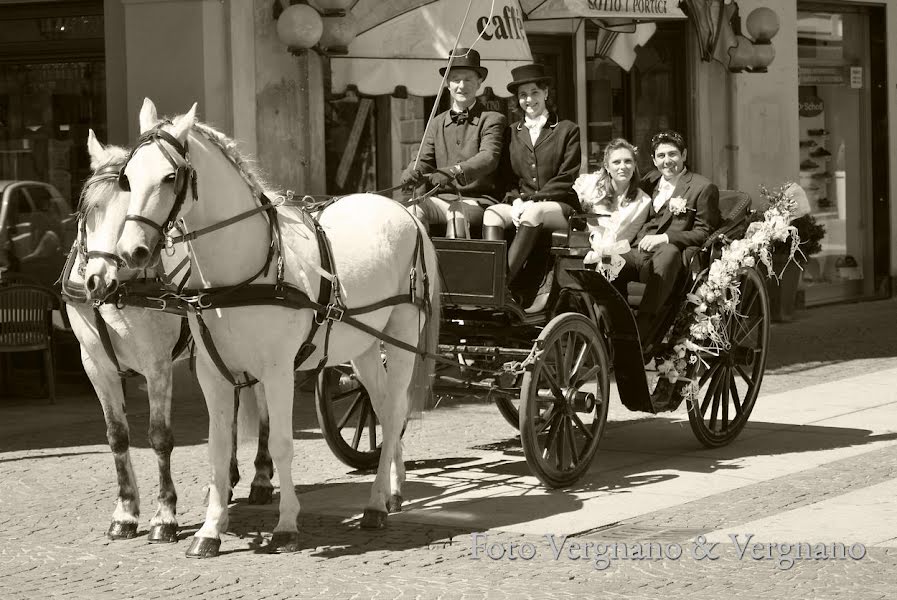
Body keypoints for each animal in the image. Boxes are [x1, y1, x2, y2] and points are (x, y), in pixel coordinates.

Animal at [64, 130, 272, 544]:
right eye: (89, 211)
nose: (98, 279)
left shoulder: (157, 366)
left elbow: (159, 437)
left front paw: (164, 517)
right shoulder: (95, 366)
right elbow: (117, 436)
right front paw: (126, 512)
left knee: (263, 407)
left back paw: (259, 477)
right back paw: (225, 480)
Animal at [115, 98, 440, 556]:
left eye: (170, 176)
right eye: (126, 178)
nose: (132, 251)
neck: (242, 271)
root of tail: (405, 211)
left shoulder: (278, 372)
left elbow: (283, 444)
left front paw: (286, 525)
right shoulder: (212, 374)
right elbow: (218, 450)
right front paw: (210, 530)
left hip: (402, 337)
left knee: (394, 414)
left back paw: (376, 506)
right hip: (362, 348)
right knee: (381, 410)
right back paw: (392, 491)